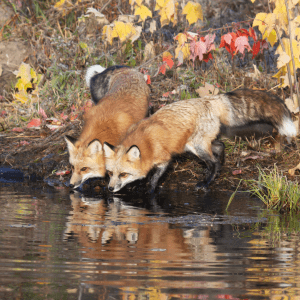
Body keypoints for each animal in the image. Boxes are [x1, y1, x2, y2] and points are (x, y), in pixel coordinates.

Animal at [102, 88, 296, 193]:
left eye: (123, 174)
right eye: (110, 173)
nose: (110, 189)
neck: (146, 143)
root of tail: (211, 100)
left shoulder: (165, 160)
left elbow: (155, 178)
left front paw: (149, 190)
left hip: (197, 147)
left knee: (213, 161)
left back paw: (207, 181)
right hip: (193, 146)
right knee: (220, 146)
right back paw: (215, 169)